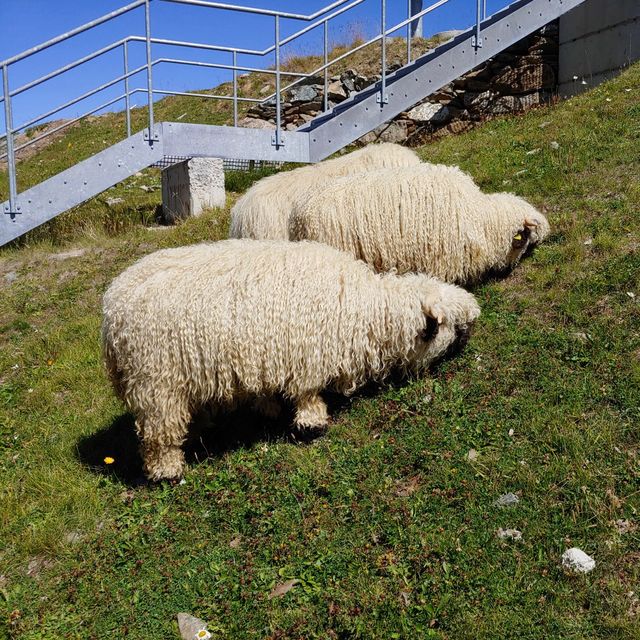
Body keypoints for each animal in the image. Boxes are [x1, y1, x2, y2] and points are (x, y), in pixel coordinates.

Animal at [102, 240, 478, 480]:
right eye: (451, 326)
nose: (468, 337)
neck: (361, 308)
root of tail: (111, 311)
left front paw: (268, 408)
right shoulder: (307, 354)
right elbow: (308, 395)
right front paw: (312, 423)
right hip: (155, 383)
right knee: (157, 433)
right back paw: (166, 470)